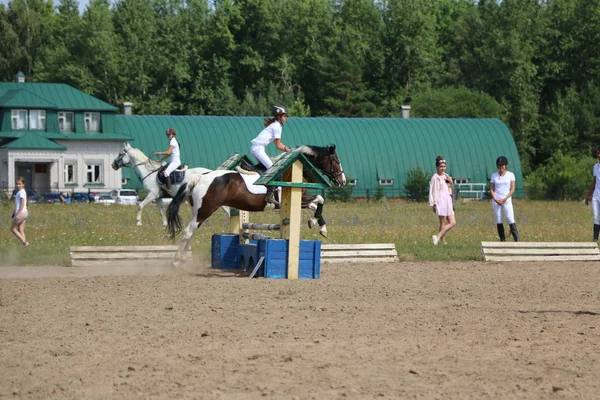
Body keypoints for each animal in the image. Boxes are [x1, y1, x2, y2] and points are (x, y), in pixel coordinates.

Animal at [166, 145, 346, 266]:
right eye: (336, 161)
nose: (342, 181)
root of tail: (200, 177)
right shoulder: (298, 199)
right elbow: (320, 199)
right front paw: (316, 223)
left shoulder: (302, 200)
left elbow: (316, 206)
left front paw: (319, 225)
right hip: (204, 211)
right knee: (188, 232)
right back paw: (176, 261)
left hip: (197, 211)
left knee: (190, 233)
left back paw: (183, 260)